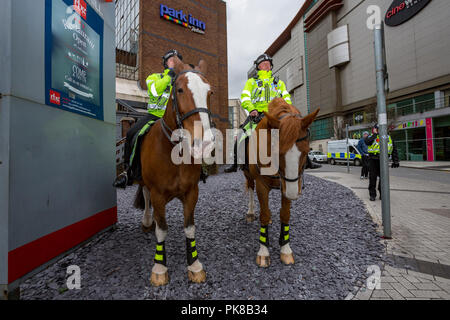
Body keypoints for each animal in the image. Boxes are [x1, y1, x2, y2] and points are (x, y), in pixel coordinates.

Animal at [134, 57, 214, 284]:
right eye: (179, 89)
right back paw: (147, 220)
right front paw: (160, 268)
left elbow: (189, 227)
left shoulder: (191, 192)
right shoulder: (158, 194)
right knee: (146, 196)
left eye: (210, 92)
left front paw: (194, 264)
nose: (204, 143)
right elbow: (162, 230)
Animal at [243, 99, 320, 268]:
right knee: (251, 189)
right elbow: (264, 214)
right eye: (278, 152)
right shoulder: (262, 184)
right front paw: (263, 251)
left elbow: (285, 214)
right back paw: (251, 212)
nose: (293, 193)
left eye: (306, 151)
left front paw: (285, 248)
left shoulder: (286, 184)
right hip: (249, 176)